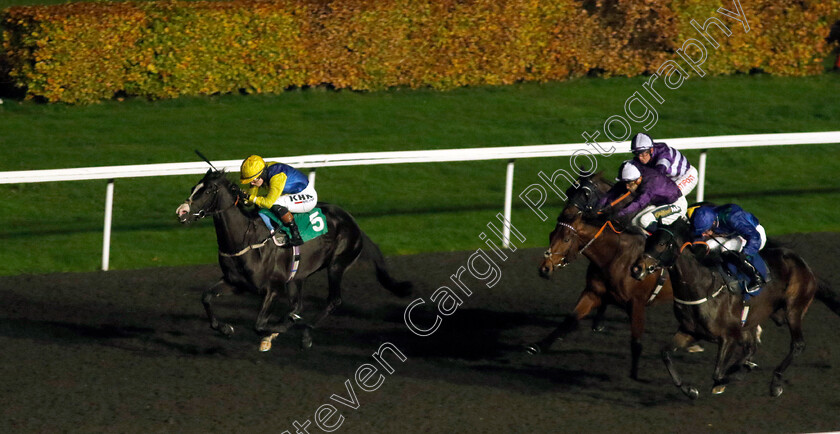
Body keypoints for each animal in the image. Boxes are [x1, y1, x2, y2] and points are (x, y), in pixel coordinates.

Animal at [176, 168, 412, 350]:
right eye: (192, 188)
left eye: (207, 191)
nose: (181, 212)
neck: (247, 238)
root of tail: (353, 222)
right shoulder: (236, 283)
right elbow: (206, 297)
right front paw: (226, 328)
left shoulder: (273, 288)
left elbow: (259, 324)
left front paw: (276, 331)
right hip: (297, 277)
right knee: (298, 305)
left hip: (337, 265)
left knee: (333, 301)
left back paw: (305, 334)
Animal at [528, 173, 684, 380]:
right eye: (551, 234)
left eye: (567, 239)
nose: (544, 268)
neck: (617, 255)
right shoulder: (593, 292)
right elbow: (570, 319)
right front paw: (538, 345)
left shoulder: (637, 303)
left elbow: (636, 341)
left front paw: (635, 375)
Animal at [632, 219, 836, 398]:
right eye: (647, 242)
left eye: (661, 243)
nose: (636, 269)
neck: (703, 287)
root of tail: (804, 264)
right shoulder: (690, 331)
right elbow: (665, 353)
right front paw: (689, 390)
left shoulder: (728, 337)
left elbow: (717, 374)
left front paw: (735, 374)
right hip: (763, 317)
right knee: (751, 346)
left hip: (793, 310)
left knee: (797, 344)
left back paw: (775, 383)